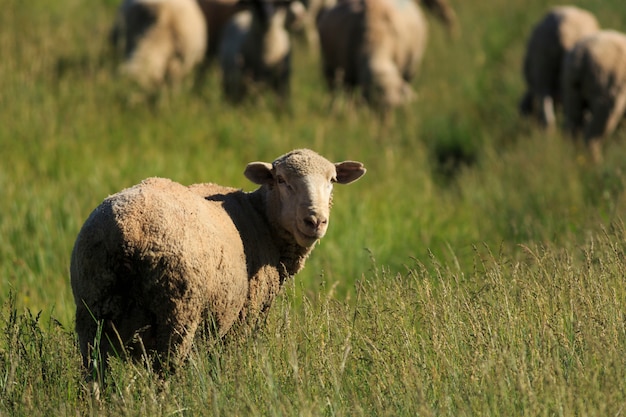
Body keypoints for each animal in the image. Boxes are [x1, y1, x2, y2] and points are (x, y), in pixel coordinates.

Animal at [71, 148, 366, 372]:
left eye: (332, 180)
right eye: (281, 180)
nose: (315, 220)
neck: (261, 219)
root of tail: (129, 230)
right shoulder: (245, 319)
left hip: (91, 308)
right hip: (178, 312)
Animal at [560, 29, 626, 162]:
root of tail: (581, 55)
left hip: (571, 93)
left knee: (572, 130)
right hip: (606, 95)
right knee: (591, 137)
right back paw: (597, 164)